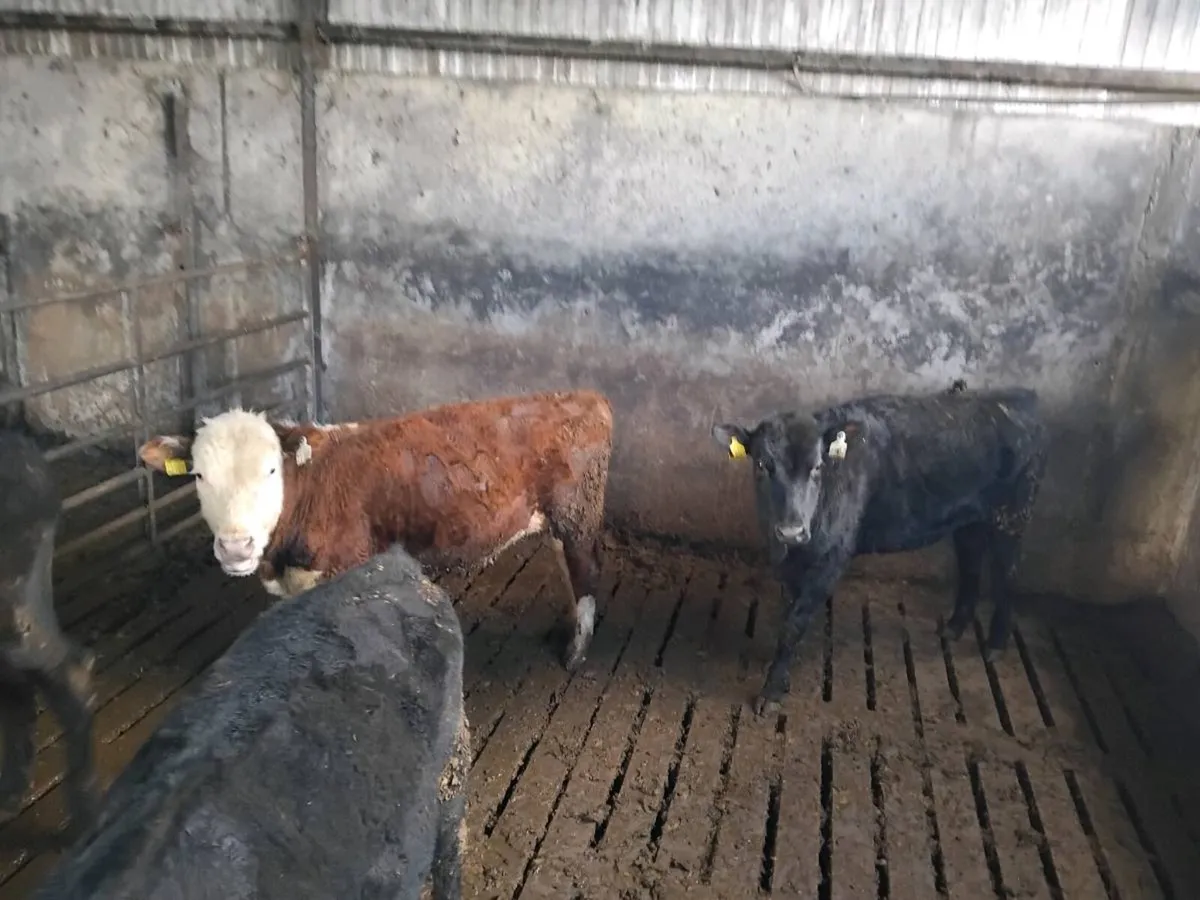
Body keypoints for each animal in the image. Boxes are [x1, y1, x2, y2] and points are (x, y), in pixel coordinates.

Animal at [136, 390, 613, 671]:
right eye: (199, 475)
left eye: (271, 470)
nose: (236, 546)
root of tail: (583, 396)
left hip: (577, 514)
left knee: (585, 572)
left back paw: (576, 653)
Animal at [712, 386, 1048, 717]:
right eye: (761, 464)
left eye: (817, 466)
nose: (791, 531)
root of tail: (1018, 397)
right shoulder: (788, 563)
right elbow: (788, 615)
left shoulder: (831, 557)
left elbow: (794, 623)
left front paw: (771, 693)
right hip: (969, 519)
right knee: (971, 562)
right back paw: (953, 628)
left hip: (1013, 514)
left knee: (1006, 573)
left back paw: (994, 645)